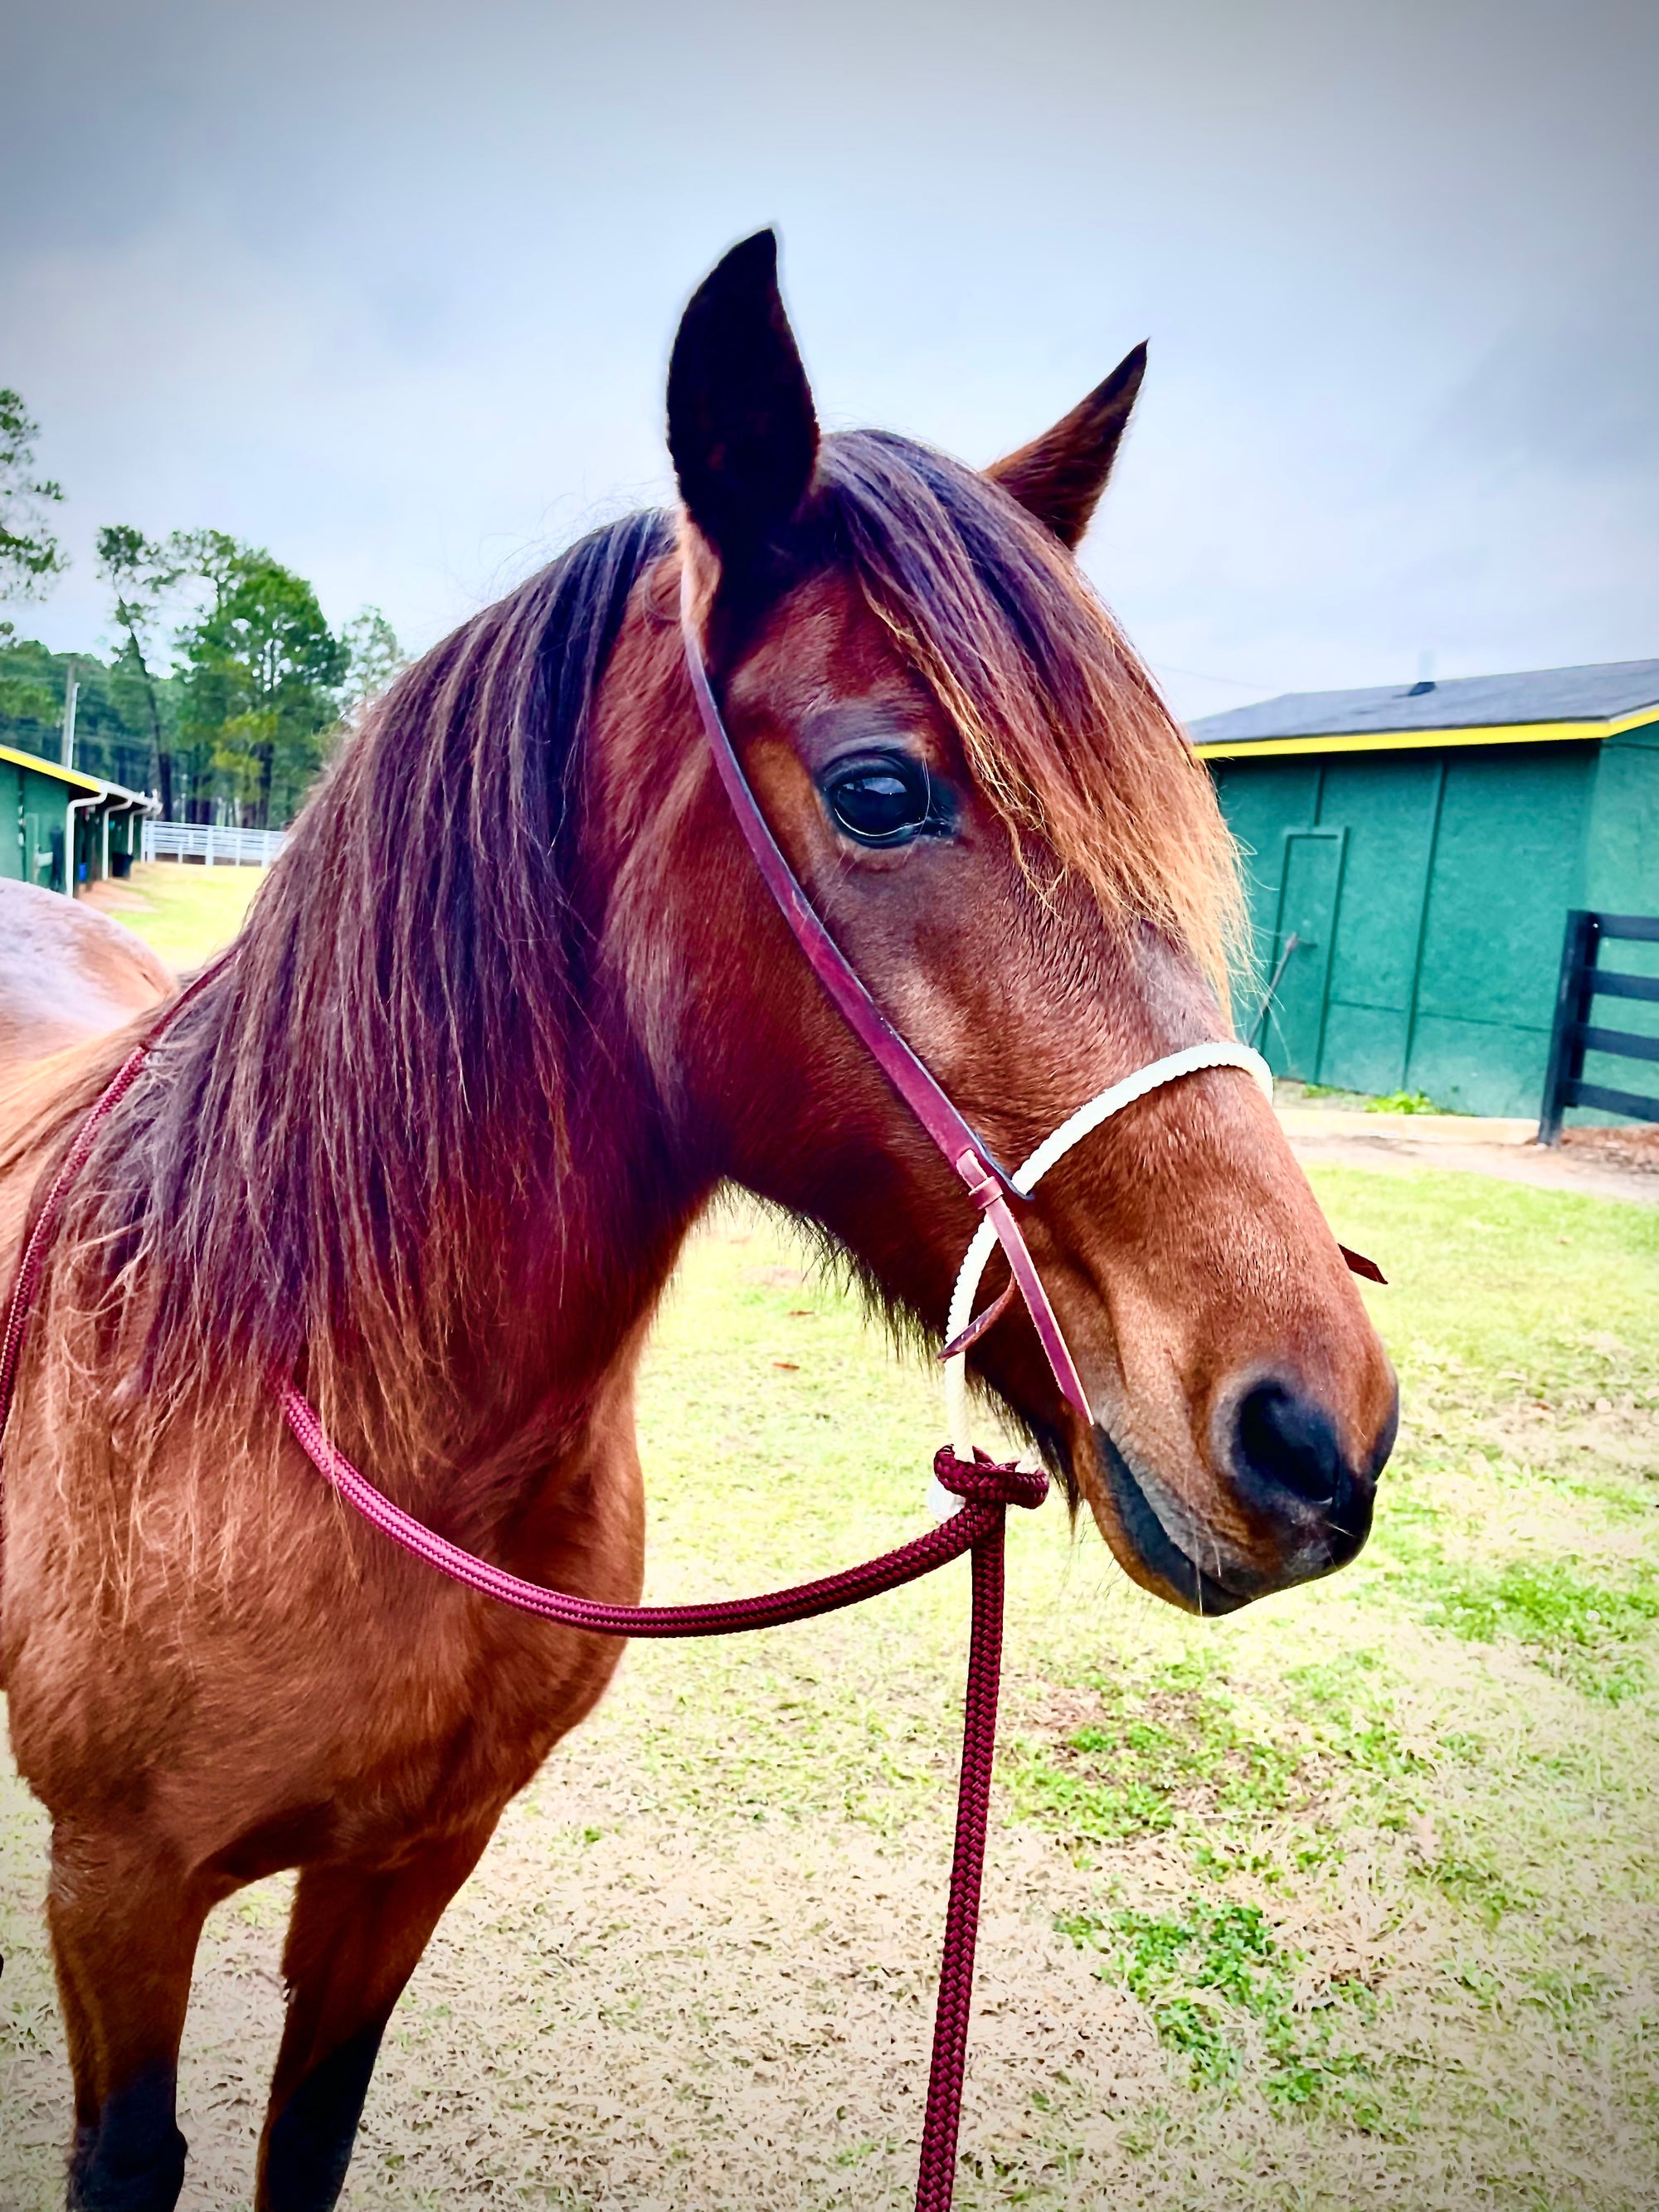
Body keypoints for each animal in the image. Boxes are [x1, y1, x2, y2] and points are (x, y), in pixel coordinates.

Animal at [0, 237, 1407, 2212]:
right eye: (883, 788)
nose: (1317, 1430)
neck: (338, 1436)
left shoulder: (409, 1865)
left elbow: (312, 2134)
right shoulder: (115, 1895)